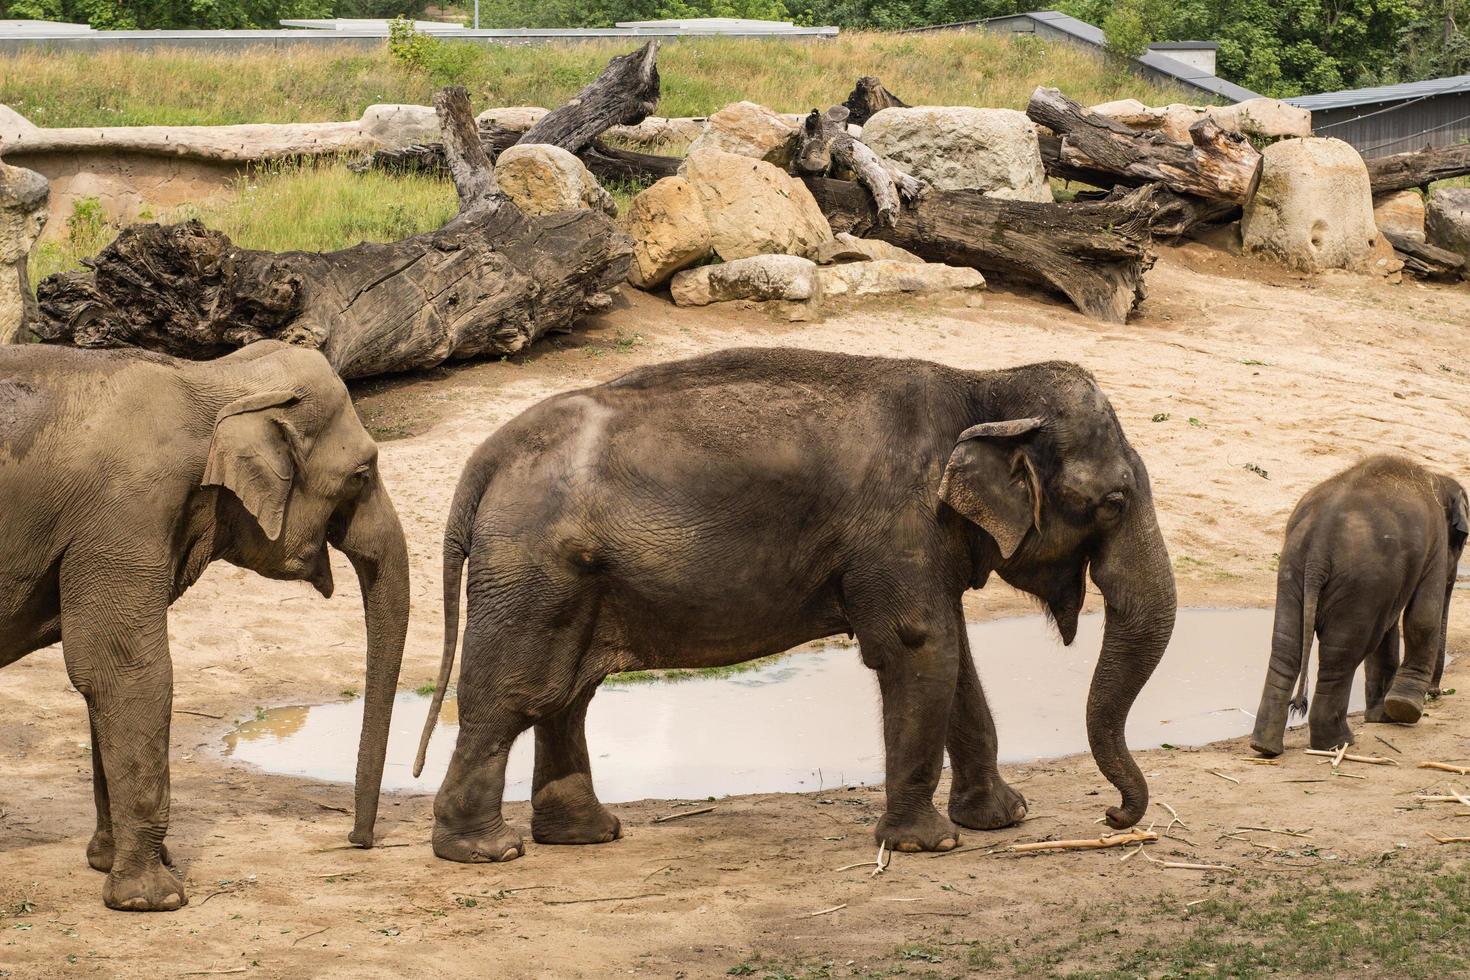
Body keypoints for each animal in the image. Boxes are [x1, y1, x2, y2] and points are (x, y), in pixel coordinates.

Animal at [1, 340, 408, 910]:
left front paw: (111, 864)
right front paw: (154, 900)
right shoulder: (125, 516)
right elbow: (123, 671)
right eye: (362, 475)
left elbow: (100, 680)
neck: (213, 378)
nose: (356, 839)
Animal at [411, 348, 1170, 863]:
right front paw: (926, 845)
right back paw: (487, 851)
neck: (982, 384)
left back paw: (585, 836)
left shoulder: (923, 539)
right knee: (519, 694)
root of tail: (488, 455)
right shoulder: (899, 524)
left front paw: (1003, 819)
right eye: (1113, 502)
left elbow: (952, 655)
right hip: (533, 568)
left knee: (569, 694)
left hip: (570, 577)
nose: (1113, 818)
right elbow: (921, 646)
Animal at [1252, 455, 1470, 758]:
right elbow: (1423, 616)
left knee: (1287, 648)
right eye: (1461, 541)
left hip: (1293, 571)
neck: (1435, 479)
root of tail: (1319, 544)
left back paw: (1265, 746)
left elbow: (1390, 628)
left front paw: (1383, 717)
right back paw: (1337, 743)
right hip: (1360, 581)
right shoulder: (1435, 541)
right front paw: (1404, 709)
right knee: (1341, 654)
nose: (1437, 693)